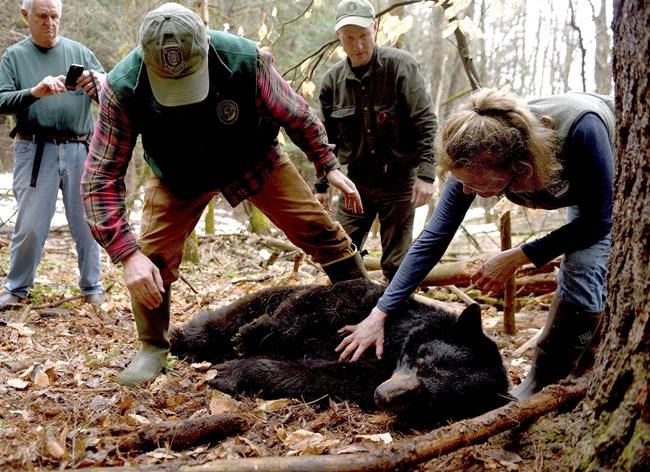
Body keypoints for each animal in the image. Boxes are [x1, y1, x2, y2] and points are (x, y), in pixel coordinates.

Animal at [170, 279, 510, 425]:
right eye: (422, 361)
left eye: (435, 401)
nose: (383, 396)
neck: (391, 351)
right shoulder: (356, 307)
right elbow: (306, 313)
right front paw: (249, 340)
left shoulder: (361, 378)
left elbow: (318, 377)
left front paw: (233, 371)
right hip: (269, 296)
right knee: (227, 319)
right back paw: (183, 338)